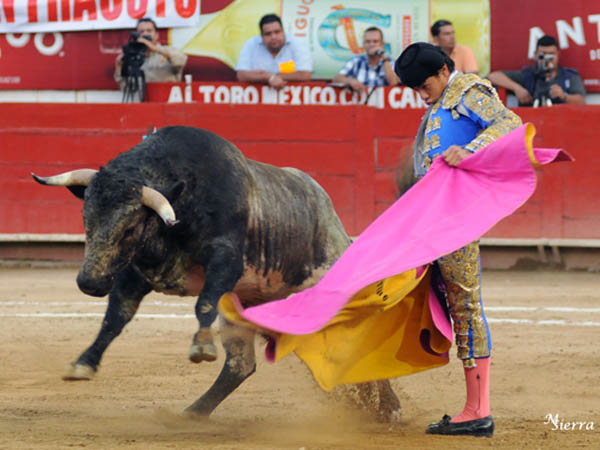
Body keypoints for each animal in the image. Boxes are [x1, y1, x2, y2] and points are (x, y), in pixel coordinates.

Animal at [31, 126, 398, 422]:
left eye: (130, 228)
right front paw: (84, 363)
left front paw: (202, 347)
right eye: (86, 218)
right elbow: (115, 316)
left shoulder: (225, 261)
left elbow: (204, 303)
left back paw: (390, 409)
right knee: (241, 365)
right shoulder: (136, 273)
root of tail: (333, 218)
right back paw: (194, 412)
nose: (89, 282)